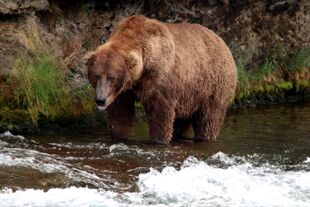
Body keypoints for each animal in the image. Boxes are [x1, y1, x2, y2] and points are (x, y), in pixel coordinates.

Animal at [83, 15, 236, 144]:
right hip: (188, 96)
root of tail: (223, 42)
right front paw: (119, 136)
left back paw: (204, 137)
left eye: (112, 78)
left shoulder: (159, 76)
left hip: (213, 85)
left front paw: (158, 140)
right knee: (181, 121)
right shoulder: (123, 90)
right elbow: (120, 113)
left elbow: (160, 113)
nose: (100, 100)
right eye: (96, 76)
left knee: (208, 120)